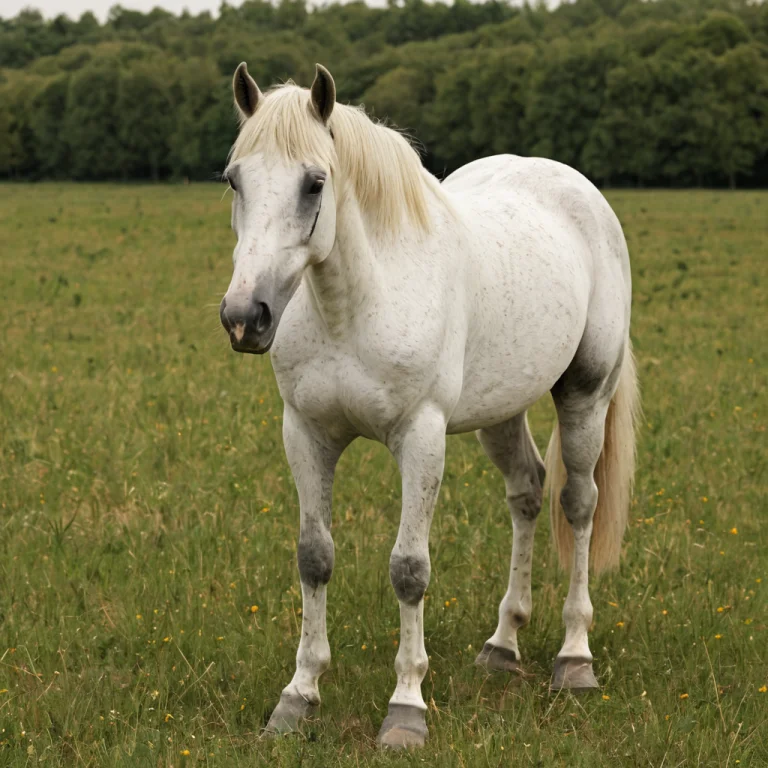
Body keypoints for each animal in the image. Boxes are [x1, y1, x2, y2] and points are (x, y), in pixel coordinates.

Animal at [218, 62, 640, 749]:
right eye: (235, 180)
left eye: (314, 183)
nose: (243, 317)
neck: (357, 303)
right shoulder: (305, 433)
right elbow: (314, 557)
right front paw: (298, 696)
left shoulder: (421, 436)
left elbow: (409, 568)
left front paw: (406, 708)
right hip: (502, 410)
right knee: (528, 493)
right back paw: (502, 644)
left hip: (585, 393)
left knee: (578, 503)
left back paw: (574, 659)